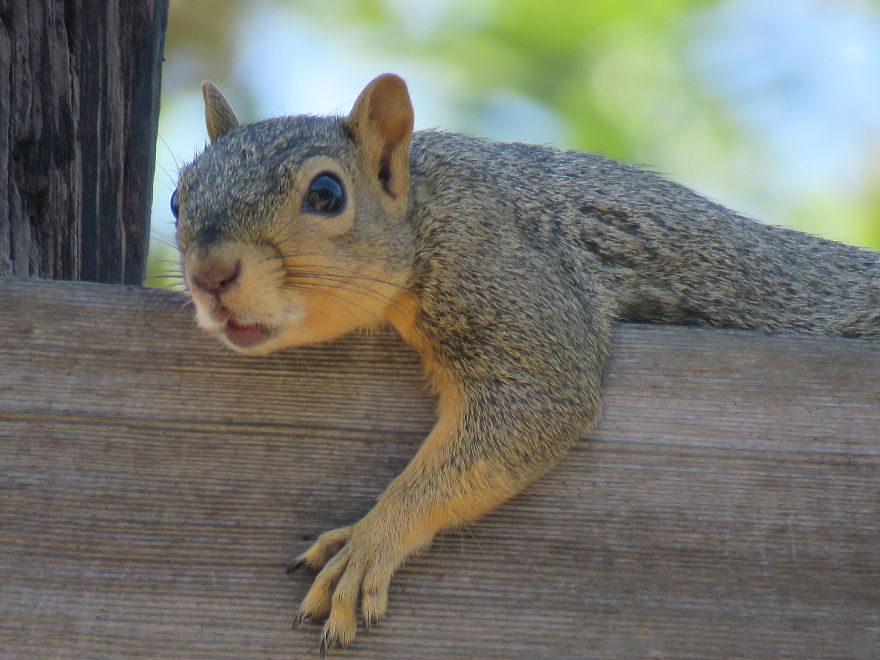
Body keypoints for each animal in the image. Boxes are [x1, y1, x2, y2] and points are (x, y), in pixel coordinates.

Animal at [172, 73, 880, 653]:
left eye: (326, 194)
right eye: (178, 199)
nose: (210, 275)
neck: (427, 206)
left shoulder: (509, 271)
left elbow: (538, 401)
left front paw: (372, 538)